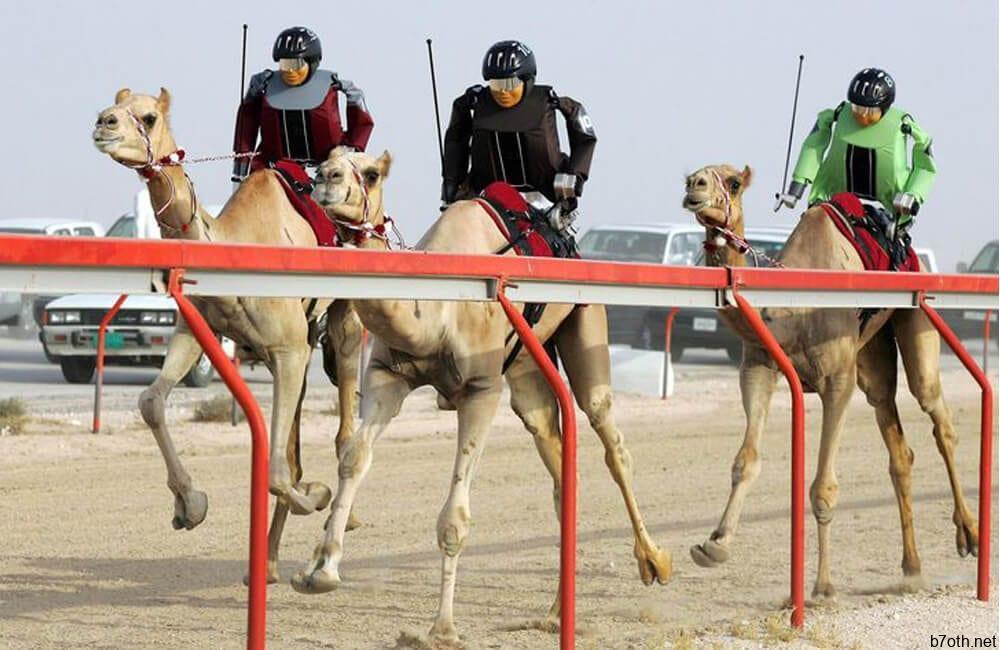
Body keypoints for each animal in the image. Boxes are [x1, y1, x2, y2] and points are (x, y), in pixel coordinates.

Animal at [92, 88, 364, 581]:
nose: (104, 124)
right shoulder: (198, 330)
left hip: (343, 321)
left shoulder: (288, 347)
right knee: (294, 445)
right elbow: (151, 401)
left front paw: (316, 495)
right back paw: (269, 563)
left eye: (148, 115)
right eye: (114, 104)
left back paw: (340, 519)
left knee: (341, 424)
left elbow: (276, 472)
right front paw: (190, 505)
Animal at [290, 147, 672, 642]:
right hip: (526, 370)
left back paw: (655, 561)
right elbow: (354, 457)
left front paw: (442, 627)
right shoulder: (387, 376)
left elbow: (454, 516)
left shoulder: (480, 389)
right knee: (555, 458)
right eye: (328, 158)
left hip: (586, 319)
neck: (436, 313)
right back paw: (554, 611)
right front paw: (320, 571)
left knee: (610, 438)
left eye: (371, 173)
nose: (326, 179)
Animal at [681, 164, 978, 598]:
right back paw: (911, 567)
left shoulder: (837, 381)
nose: (694, 186)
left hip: (917, 318)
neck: (795, 309)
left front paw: (823, 586)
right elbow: (745, 460)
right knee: (897, 446)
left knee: (938, 417)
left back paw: (968, 535)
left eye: (733, 182)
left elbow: (823, 486)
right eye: (693, 176)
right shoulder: (759, 367)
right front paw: (714, 544)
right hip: (871, 356)